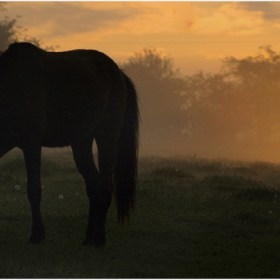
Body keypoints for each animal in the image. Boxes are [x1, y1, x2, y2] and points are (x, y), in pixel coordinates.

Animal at [0, 41, 139, 247]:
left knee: (105, 186)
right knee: (93, 186)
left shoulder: (32, 144)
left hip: (107, 137)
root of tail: (119, 73)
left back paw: (99, 239)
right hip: (81, 144)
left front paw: (37, 235)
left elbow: (33, 189)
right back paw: (88, 238)